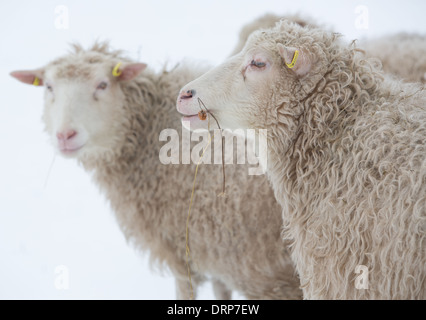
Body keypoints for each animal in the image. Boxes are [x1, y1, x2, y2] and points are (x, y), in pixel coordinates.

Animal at [10, 42, 302, 300]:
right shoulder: (212, 253)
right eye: (49, 87)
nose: (65, 136)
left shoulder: (185, 256)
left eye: (102, 85)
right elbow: (221, 291)